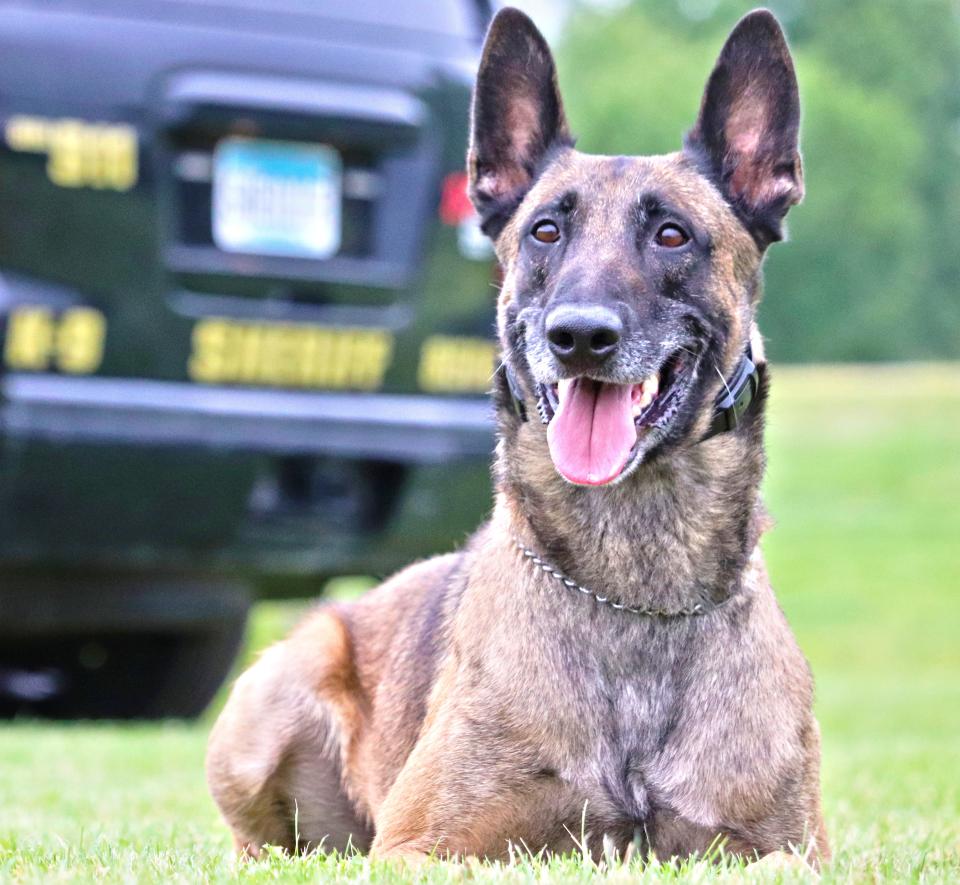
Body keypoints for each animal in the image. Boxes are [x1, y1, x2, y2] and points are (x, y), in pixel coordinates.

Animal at [208, 5, 824, 864]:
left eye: (672, 235)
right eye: (544, 232)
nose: (580, 336)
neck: (634, 594)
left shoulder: (788, 848)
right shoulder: (419, 844)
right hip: (272, 702)